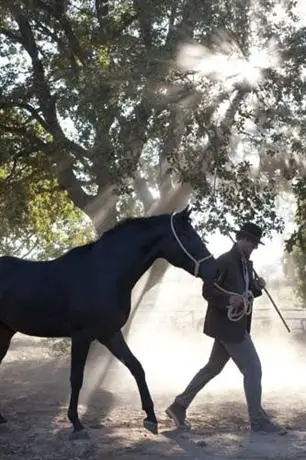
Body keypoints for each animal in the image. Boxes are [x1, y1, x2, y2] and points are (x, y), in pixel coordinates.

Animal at [0, 207, 218, 436]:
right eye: (187, 235)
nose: (215, 270)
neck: (103, 273)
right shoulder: (81, 336)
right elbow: (77, 378)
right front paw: (76, 423)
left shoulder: (110, 334)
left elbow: (136, 367)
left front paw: (151, 418)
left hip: (4, 331)